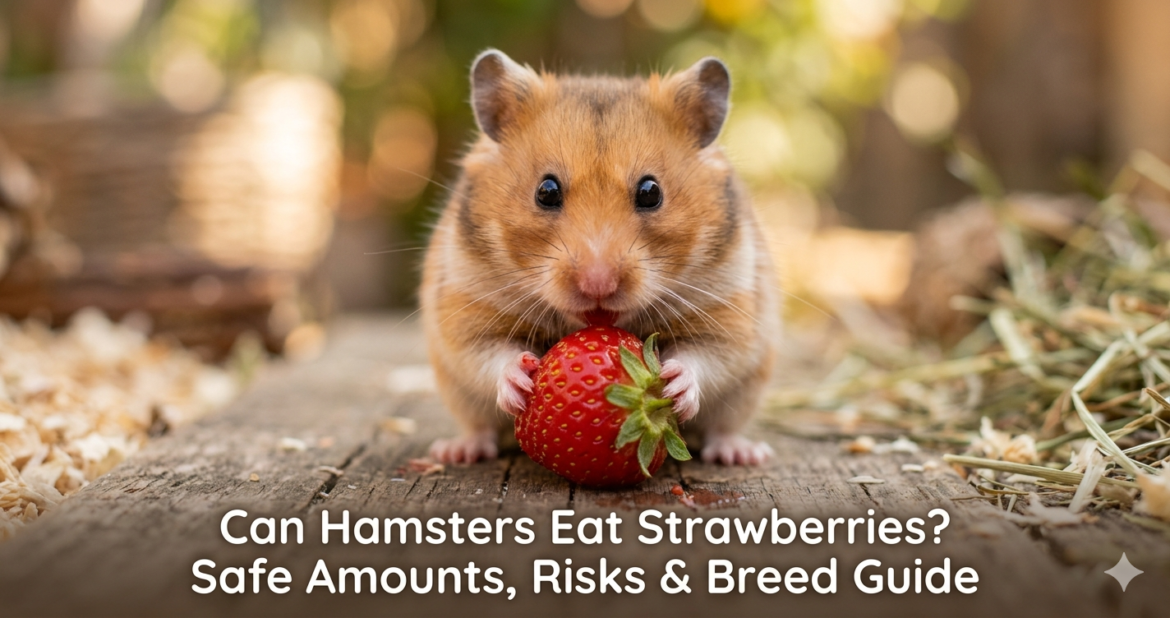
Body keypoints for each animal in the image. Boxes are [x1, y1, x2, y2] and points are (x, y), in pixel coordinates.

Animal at [421, 49, 779, 466]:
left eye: (651, 192)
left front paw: (672, 384)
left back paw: (743, 453)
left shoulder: (731, 312)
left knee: (723, 428)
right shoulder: (465, 307)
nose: (598, 285)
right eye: (546, 191)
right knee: (479, 427)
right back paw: (456, 451)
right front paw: (523, 379)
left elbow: (706, 357)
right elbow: (488, 353)